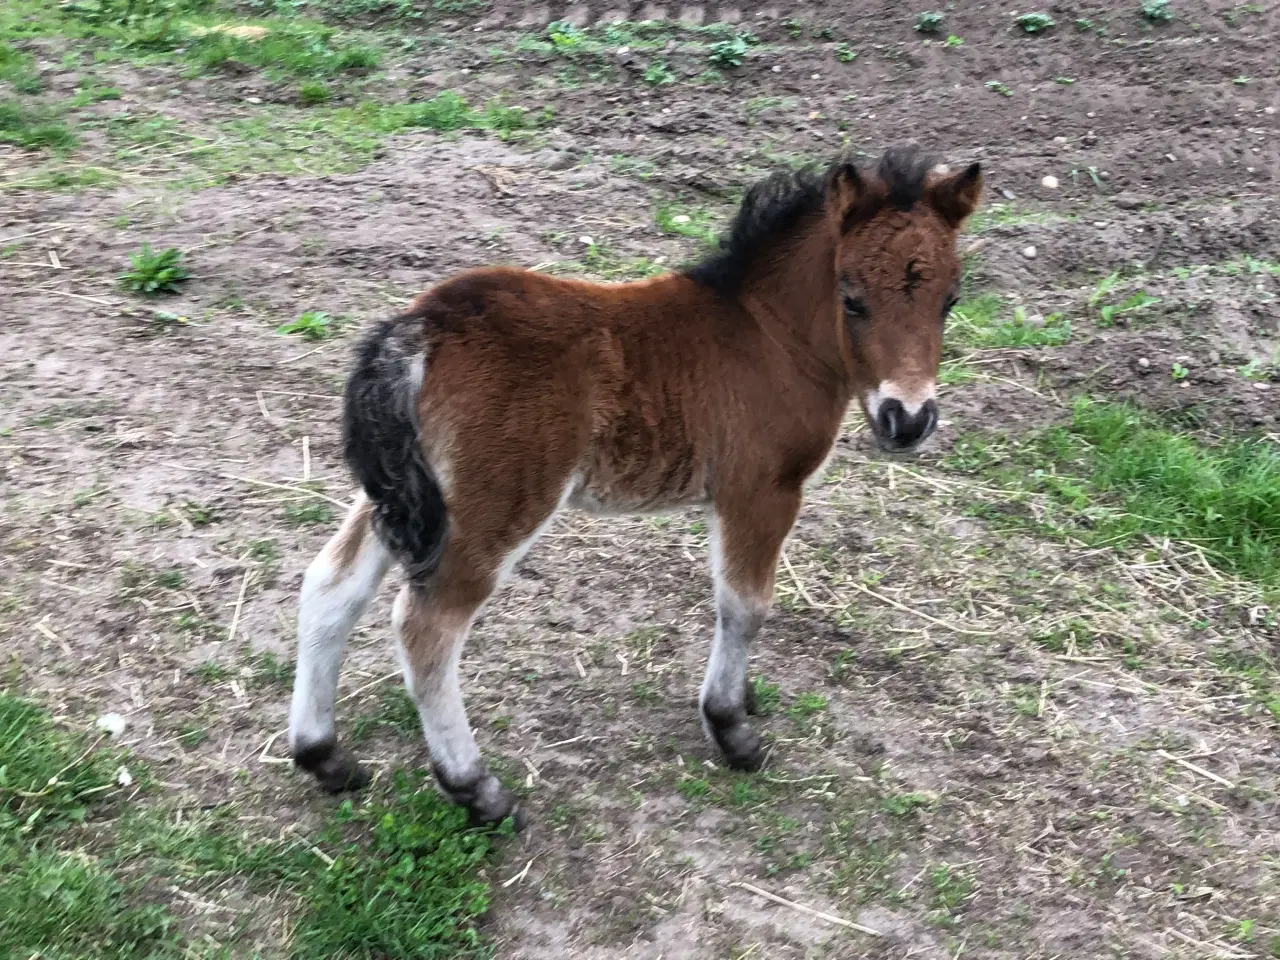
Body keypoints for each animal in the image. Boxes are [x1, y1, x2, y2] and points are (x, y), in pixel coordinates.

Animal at [290, 144, 983, 829]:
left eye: (950, 299)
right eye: (852, 298)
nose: (908, 420)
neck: (768, 335)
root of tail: (421, 327)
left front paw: (744, 699)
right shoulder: (762, 491)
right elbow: (745, 605)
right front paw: (731, 729)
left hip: (408, 490)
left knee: (331, 584)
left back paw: (325, 757)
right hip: (496, 501)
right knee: (428, 626)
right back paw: (478, 790)